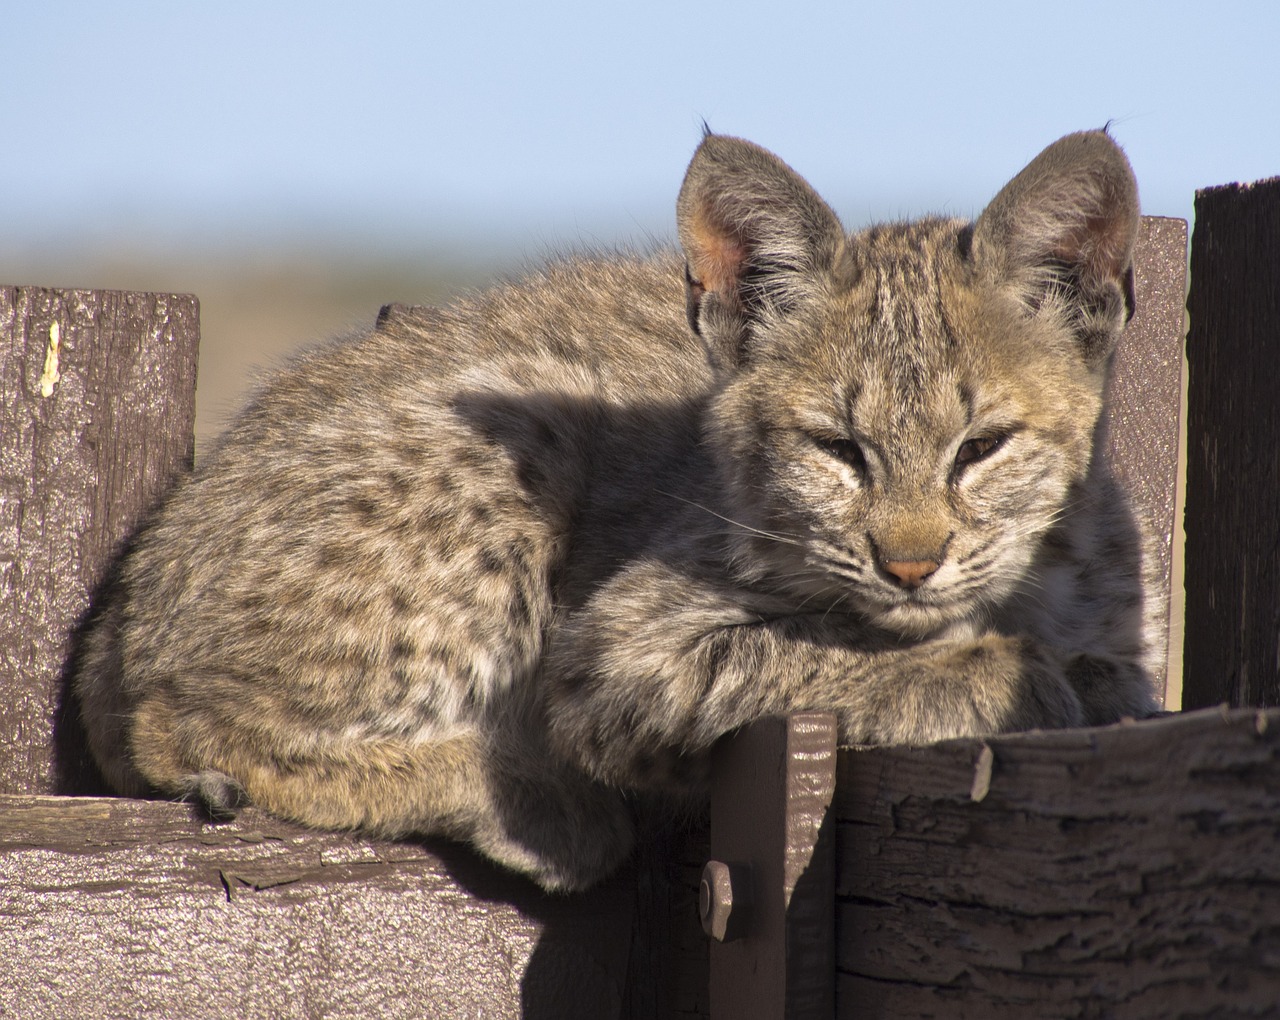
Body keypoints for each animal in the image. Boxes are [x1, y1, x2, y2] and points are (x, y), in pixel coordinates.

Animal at [77, 129, 1162, 890]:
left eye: (981, 448)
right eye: (836, 450)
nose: (908, 565)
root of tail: (119, 606)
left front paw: (1073, 669)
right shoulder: (618, 653)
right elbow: (811, 657)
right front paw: (1013, 673)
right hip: (526, 436)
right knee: (175, 716)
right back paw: (531, 801)